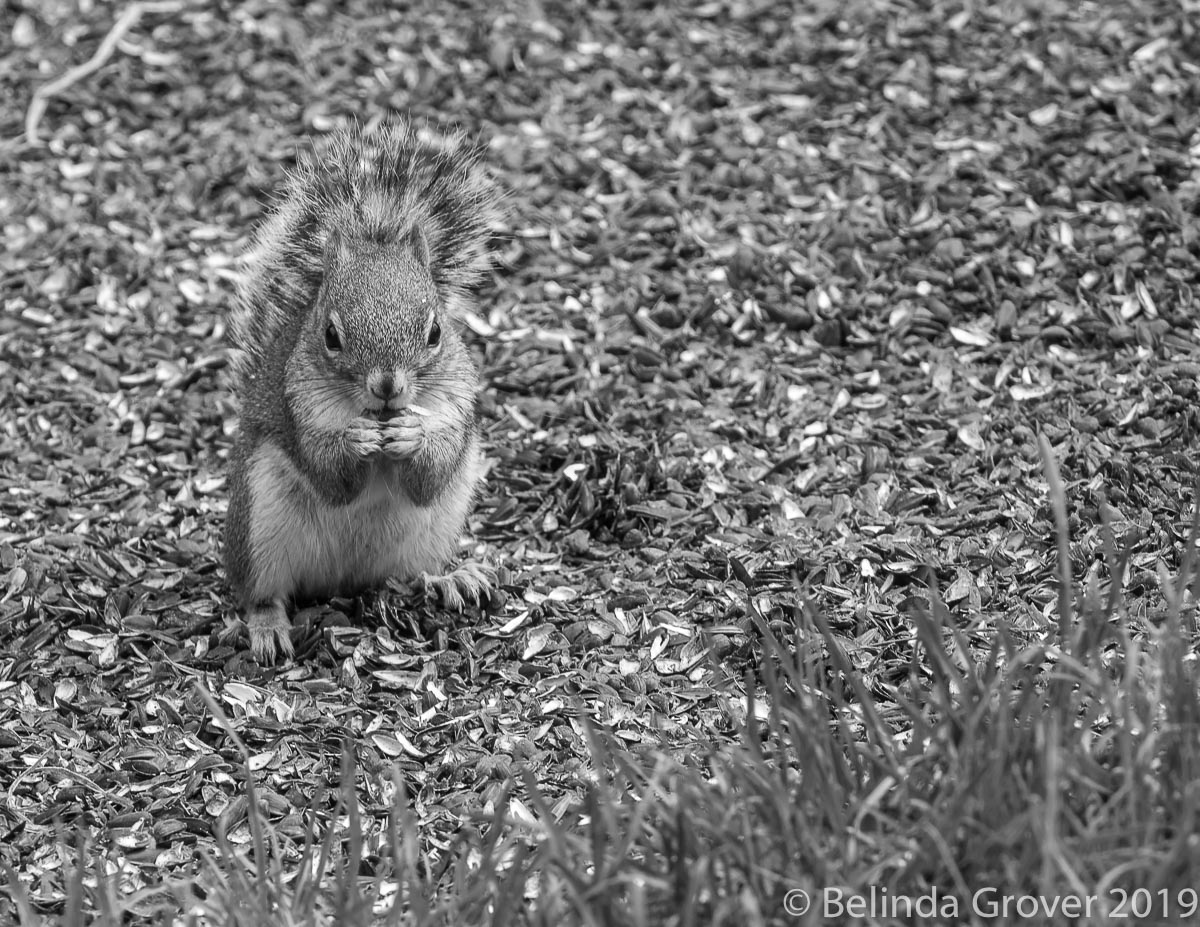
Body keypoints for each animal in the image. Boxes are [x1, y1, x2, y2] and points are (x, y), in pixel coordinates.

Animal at [223, 119, 503, 662]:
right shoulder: (299, 408)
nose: (388, 386)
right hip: (260, 522)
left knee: (415, 570)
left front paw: (414, 435)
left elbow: (430, 476)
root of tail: (342, 581)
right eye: (331, 336)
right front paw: (353, 440)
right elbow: (330, 476)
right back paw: (267, 626)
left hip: (436, 528)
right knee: (260, 592)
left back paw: (452, 577)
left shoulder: (458, 406)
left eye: (435, 332)